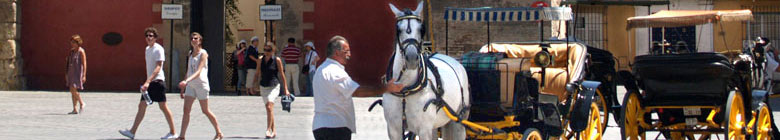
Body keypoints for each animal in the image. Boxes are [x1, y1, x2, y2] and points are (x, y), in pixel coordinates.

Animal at [382, 1, 472, 140]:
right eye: (398, 30)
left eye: (421, 29)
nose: (411, 58)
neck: (405, 90)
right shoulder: (393, 130)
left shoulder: (424, 129)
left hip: (459, 119)